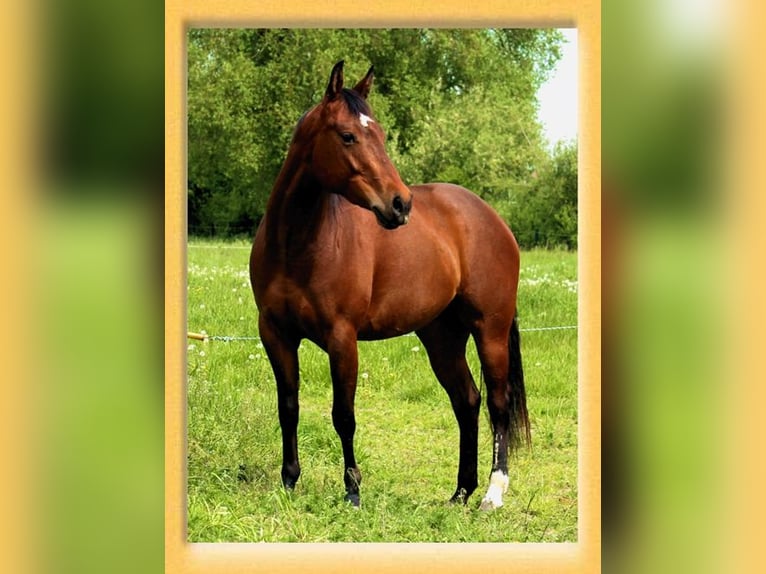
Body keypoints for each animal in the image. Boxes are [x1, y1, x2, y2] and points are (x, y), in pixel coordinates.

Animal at [250, 61, 529, 510]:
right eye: (348, 135)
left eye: (380, 135)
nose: (400, 204)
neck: (297, 244)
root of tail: (491, 217)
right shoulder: (275, 334)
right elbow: (288, 406)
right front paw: (289, 481)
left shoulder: (342, 338)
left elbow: (343, 415)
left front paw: (352, 491)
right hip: (441, 337)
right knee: (467, 401)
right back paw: (460, 492)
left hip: (491, 330)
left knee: (498, 404)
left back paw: (492, 492)